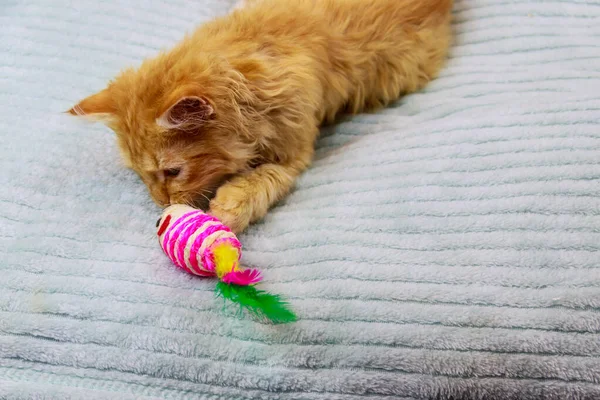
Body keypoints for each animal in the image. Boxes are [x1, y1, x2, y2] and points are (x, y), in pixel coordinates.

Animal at [70, 0, 452, 233]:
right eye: (140, 175)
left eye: (172, 172)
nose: (161, 203)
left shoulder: (294, 149)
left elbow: (264, 178)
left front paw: (230, 207)